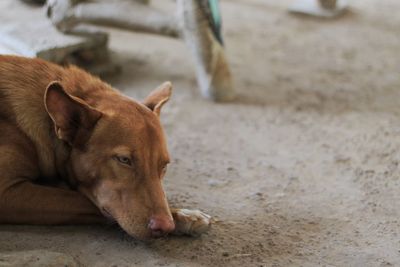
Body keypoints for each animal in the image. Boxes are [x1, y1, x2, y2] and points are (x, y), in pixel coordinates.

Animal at [0, 55, 211, 240]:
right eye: (124, 160)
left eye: (164, 166)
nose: (165, 226)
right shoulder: (7, 191)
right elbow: (80, 199)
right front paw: (180, 214)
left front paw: (184, 215)